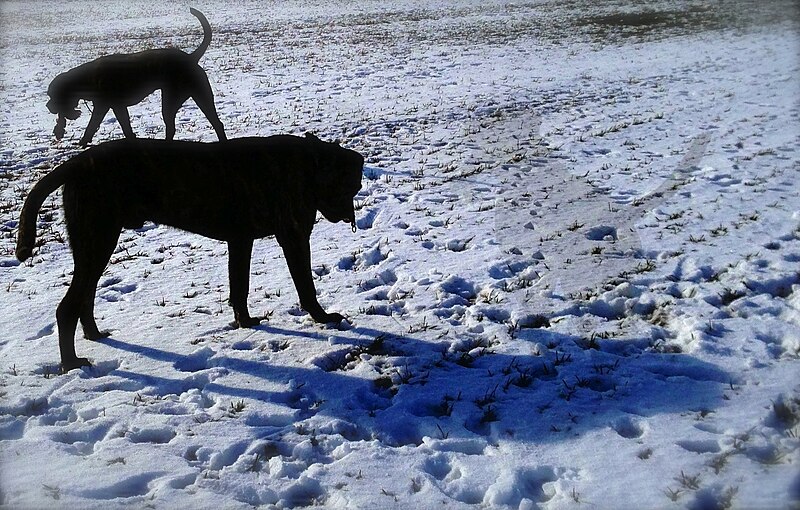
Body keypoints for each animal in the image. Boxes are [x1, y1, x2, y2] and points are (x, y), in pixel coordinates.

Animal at [16, 133, 366, 372]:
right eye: (352, 185)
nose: (350, 215)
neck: (310, 164)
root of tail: (76, 163)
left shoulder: (241, 241)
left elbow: (239, 288)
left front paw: (245, 322)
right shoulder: (293, 237)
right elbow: (306, 286)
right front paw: (323, 317)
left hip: (92, 245)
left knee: (84, 297)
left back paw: (94, 334)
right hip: (98, 240)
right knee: (68, 306)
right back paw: (72, 363)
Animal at [47, 8, 225, 147]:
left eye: (52, 95)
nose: (48, 106)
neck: (84, 80)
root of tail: (190, 57)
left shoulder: (107, 106)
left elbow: (96, 125)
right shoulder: (112, 106)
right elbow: (116, 125)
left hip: (172, 101)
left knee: (174, 126)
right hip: (202, 96)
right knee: (217, 123)